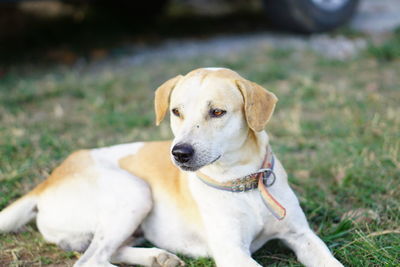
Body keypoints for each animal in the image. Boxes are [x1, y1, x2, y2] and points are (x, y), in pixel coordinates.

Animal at [0, 68, 344, 266]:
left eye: (217, 112)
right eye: (176, 111)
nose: (179, 153)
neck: (243, 180)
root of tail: (47, 181)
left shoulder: (302, 236)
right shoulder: (232, 252)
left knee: (107, 252)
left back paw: (157, 257)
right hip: (135, 192)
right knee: (90, 261)